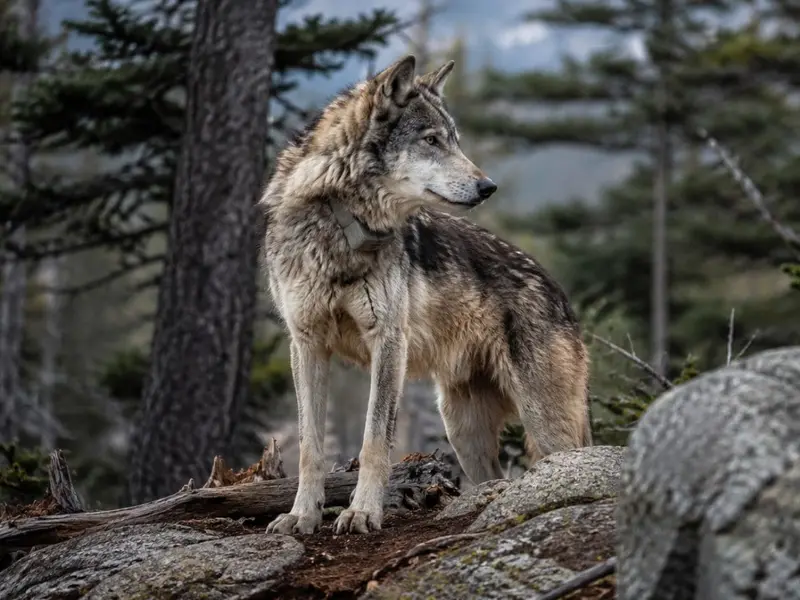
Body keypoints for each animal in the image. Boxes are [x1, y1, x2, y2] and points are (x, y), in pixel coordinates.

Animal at [259, 55, 591, 536]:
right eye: (432, 140)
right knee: (491, 475)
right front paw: (302, 515)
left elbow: (375, 440)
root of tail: (559, 292)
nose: (488, 187)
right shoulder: (306, 344)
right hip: (462, 429)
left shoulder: (388, 342)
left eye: (455, 141)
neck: (339, 224)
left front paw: (362, 512)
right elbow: (309, 446)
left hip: (545, 424)